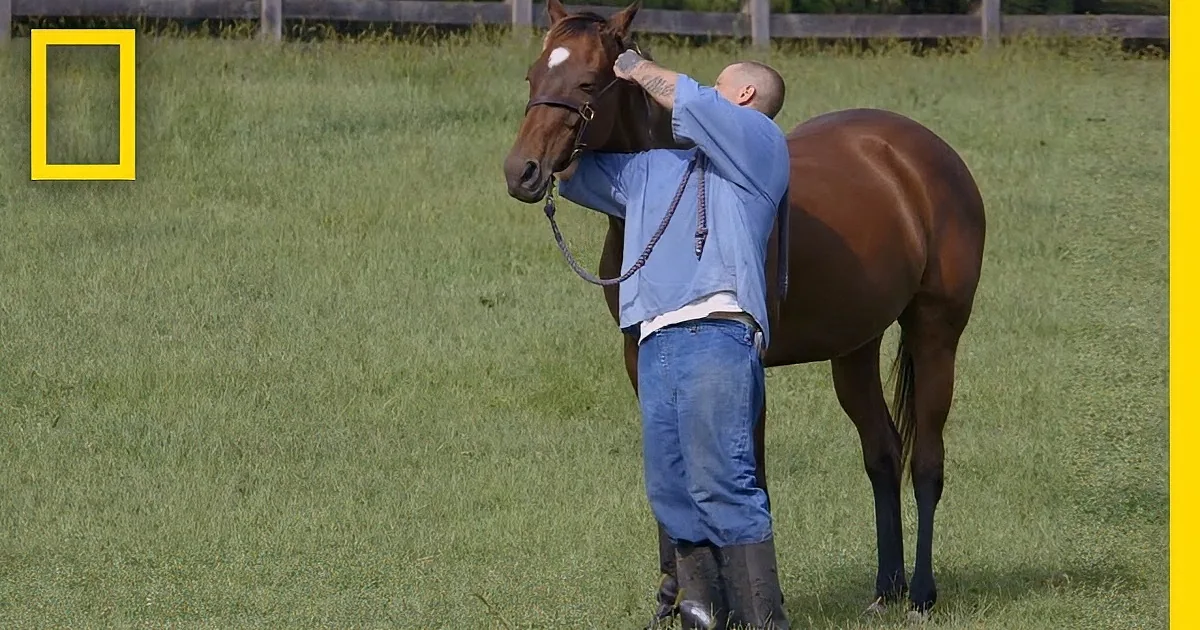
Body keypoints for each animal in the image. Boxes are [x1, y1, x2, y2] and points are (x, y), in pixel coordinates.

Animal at [501, 0, 987, 624]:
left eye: (587, 82)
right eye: (533, 77)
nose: (523, 171)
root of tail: (926, 154)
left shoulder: (747, 368)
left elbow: (749, 481)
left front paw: (745, 607)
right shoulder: (640, 355)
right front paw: (676, 603)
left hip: (935, 331)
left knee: (926, 459)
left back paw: (922, 594)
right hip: (855, 348)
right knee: (883, 453)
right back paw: (886, 587)